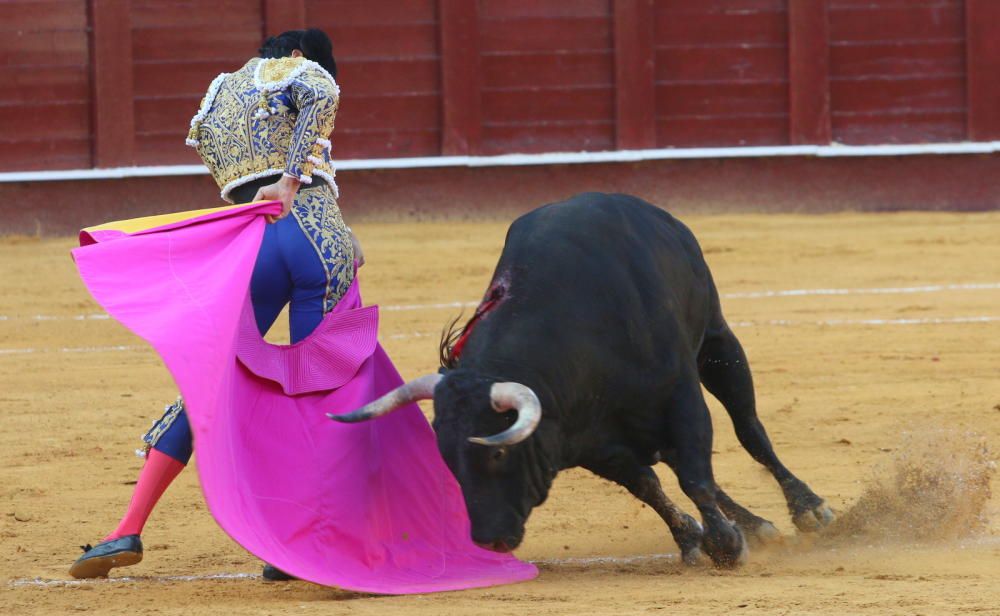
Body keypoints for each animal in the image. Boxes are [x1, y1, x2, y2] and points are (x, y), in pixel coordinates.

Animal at [330, 192, 836, 568]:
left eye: (497, 453)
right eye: (448, 459)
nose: (489, 539)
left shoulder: (680, 395)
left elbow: (696, 475)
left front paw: (725, 545)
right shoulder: (589, 440)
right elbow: (651, 485)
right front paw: (695, 539)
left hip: (717, 340)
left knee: (749, 430)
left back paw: (808, 510)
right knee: (677, 461)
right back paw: (756, 524)